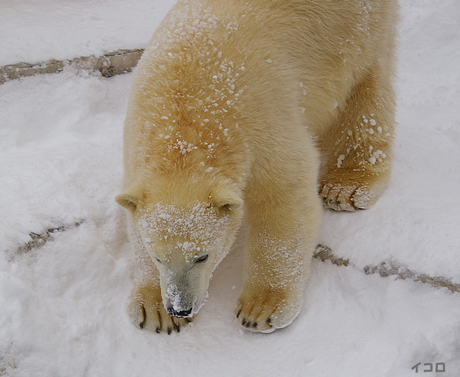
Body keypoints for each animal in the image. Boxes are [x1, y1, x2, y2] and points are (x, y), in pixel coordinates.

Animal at [116, 0, 398, 332]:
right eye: (158, 256)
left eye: (202, 256)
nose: (180, 307)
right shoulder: (138, 138)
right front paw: (155, 310)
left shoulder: (261, 125)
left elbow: (283, 201)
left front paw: (261, 309)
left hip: (353, 32)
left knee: (363, 89)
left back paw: (346, 185)